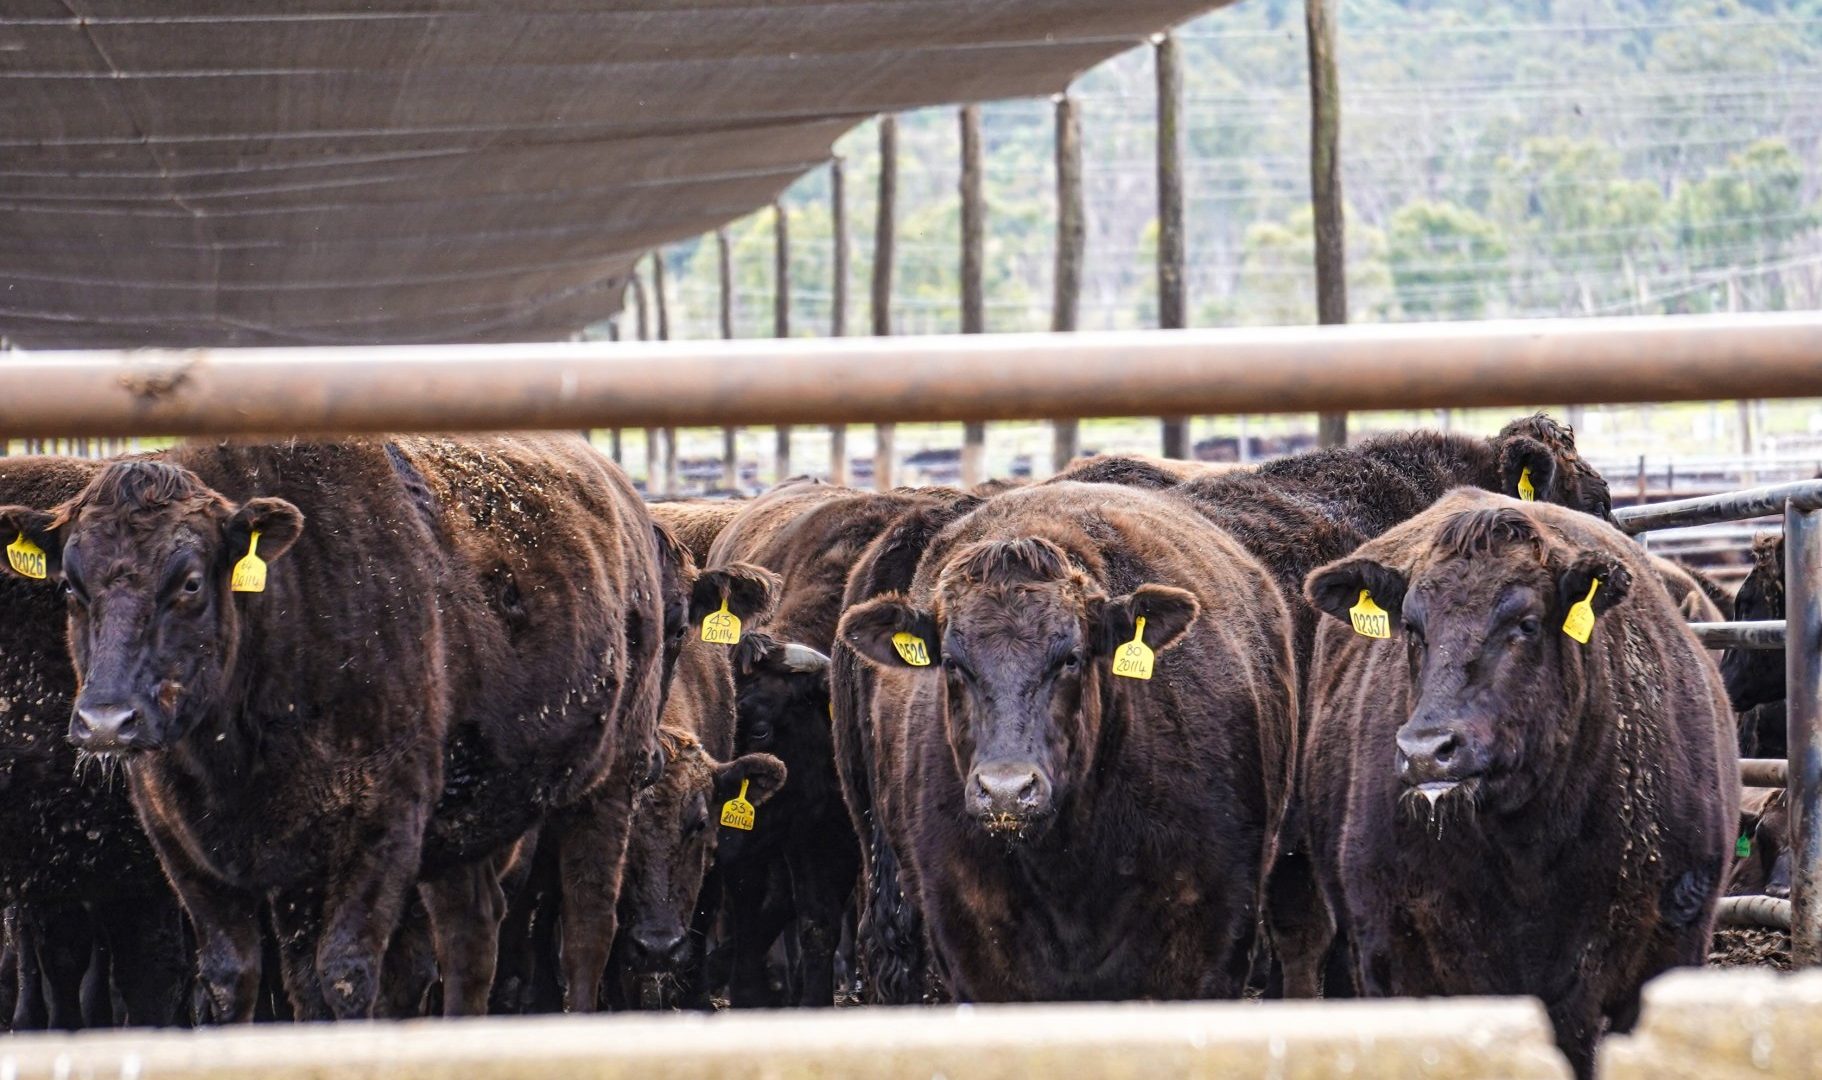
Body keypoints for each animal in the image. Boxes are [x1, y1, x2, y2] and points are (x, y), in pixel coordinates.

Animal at [0, 435, 666, 1019]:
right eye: (70, 586)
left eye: (189, 582)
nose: (105, 720)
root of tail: (625, 501)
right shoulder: (193, 852)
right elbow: (237, 979)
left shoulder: (379, 828)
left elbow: (344, 974)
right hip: (463, 829)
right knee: (471, 935)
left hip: (607, 785)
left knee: (586, 929)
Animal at [1311, 491, 1734, 1070]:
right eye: (1413, 629)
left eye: (1527, 624)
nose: (1426, 751)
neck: (1530, 847)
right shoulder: (1392, 953)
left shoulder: (1668, 946)